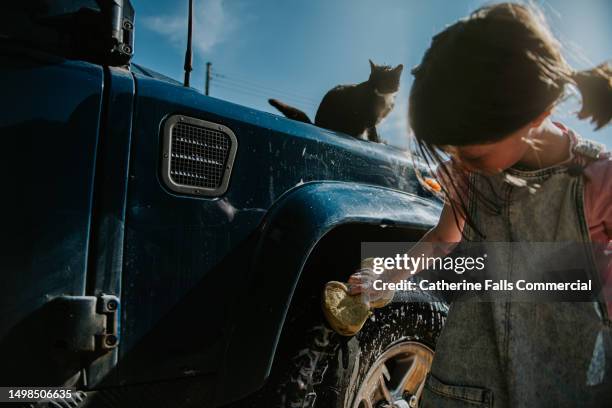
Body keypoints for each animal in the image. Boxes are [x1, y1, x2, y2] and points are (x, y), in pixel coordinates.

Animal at [268, 59, 402, 143]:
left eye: (382, 81)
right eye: (372, 79)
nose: (373, 87)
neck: (385, 96)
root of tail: (317, 123)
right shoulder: (369, 117)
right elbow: (372, 131)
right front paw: (378, 142)